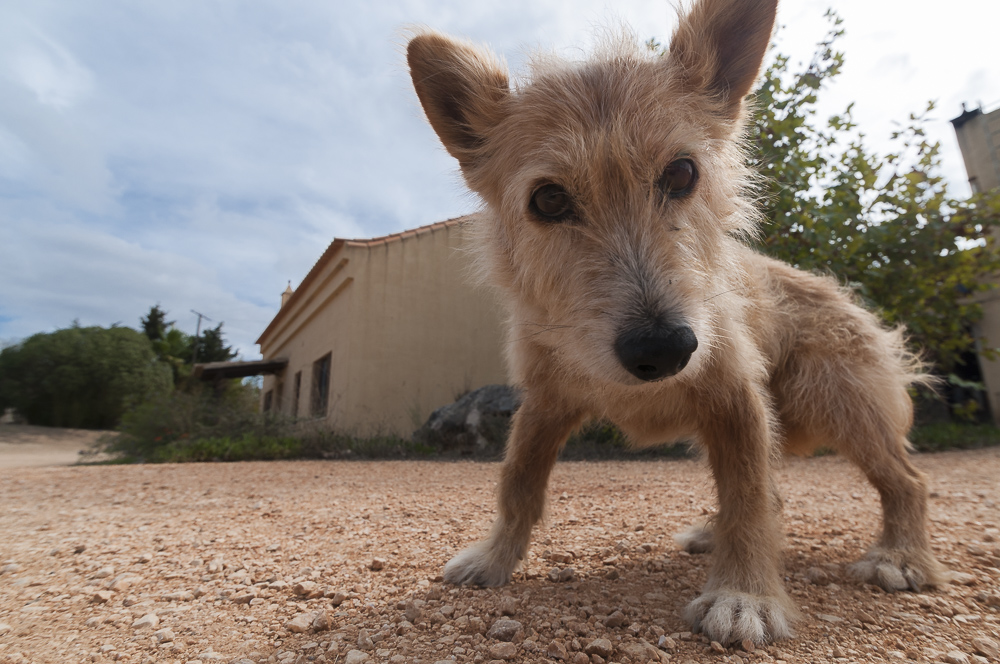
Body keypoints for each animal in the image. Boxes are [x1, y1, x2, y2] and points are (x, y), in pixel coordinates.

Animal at [404, 0, 944, 644]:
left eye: (682, 173)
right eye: (549, 200)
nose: (662, 348)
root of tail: (846, 297)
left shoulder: (736, 397)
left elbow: (747, 497)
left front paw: (743, 594)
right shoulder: (544, 404)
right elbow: (518, 484)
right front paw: (494, 557)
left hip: (838, 402)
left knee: (903, 481)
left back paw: (901, 557)